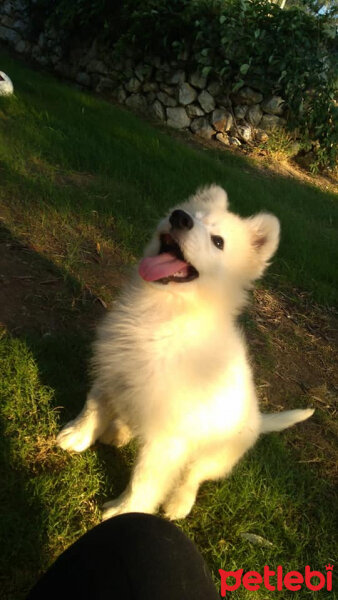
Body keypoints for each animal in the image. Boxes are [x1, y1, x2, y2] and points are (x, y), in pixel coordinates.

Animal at [56, 185, 312, 516]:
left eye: (218, 242)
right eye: (188, 213)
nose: (180, 218)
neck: (164, 313)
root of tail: (258, 420)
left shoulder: (168, 439)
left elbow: (145, 480)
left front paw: (125, 510)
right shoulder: (113, 371)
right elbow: (93, 407)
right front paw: (77, 435)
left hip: (216, 454)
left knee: (194, 476)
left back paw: (179, 502)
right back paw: (119, 431)